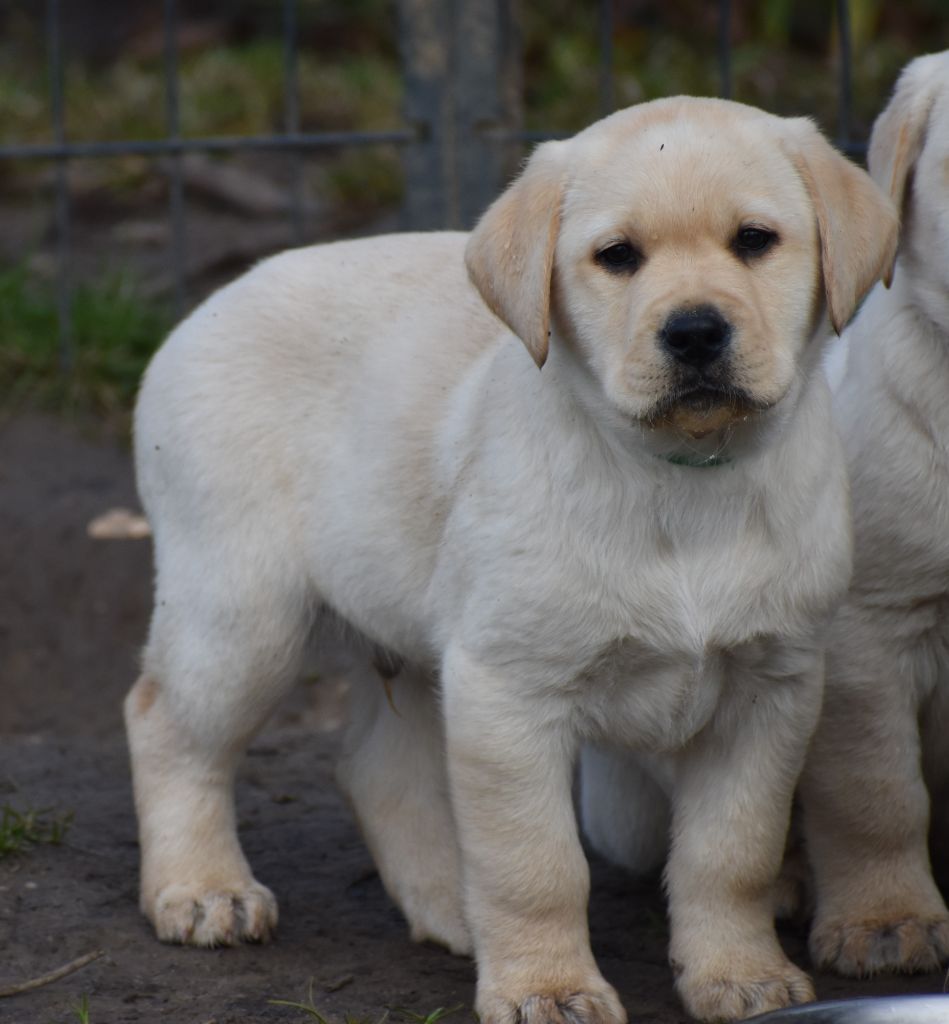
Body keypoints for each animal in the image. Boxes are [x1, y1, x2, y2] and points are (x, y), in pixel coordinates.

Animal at [125, 97, 896, 1024]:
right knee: (165, 725)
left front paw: (738, 974)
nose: (694, 331)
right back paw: (202, 889)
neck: (681, 481)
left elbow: (731, 852)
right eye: (616, 256)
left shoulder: (770, 689)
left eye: (754, 240)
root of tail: (206, 308)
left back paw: (448, 908)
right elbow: (535, 863)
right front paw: (546, 987)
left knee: (373, 767)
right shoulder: (507, 688)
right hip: (243, 614)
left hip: (406, 635)